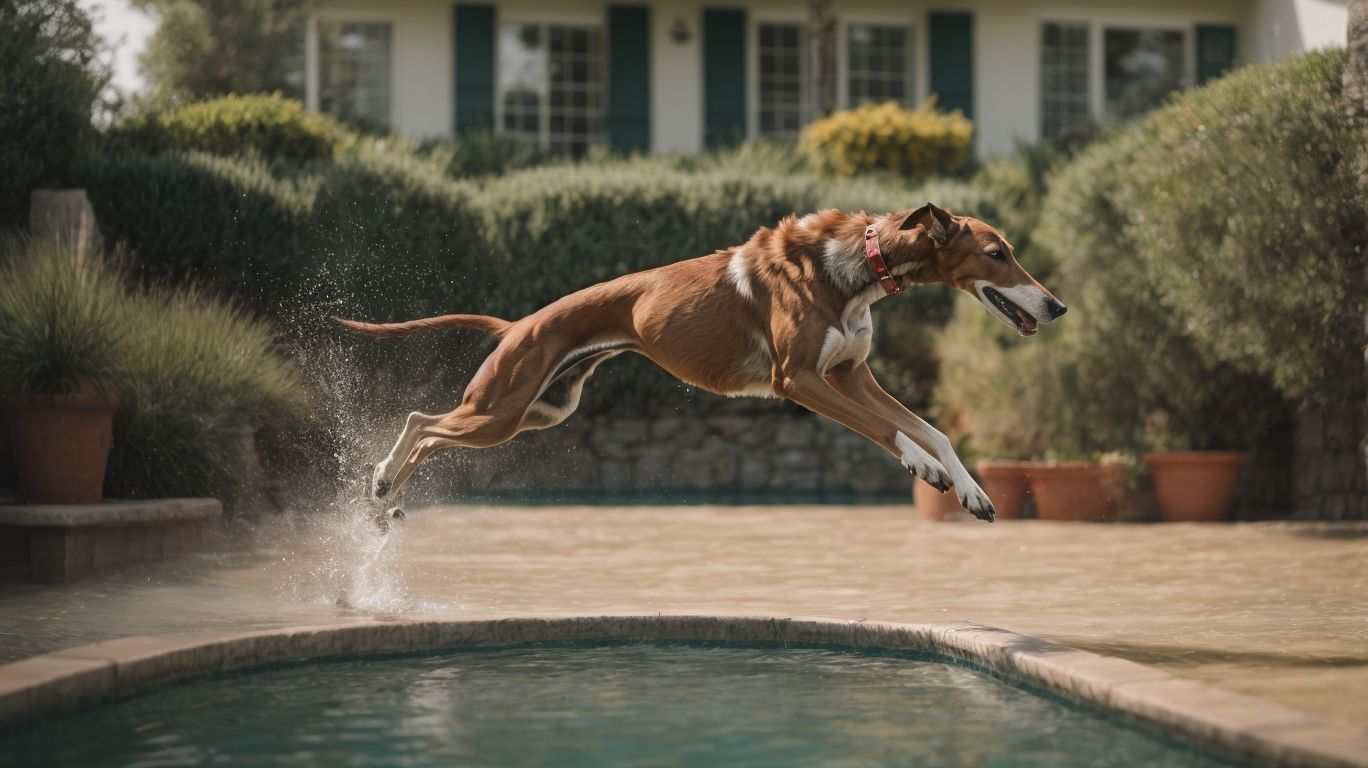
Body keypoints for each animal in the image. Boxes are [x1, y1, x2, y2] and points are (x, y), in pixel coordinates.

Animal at [336, 202, 1061, 520]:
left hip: (537, 411)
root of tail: (519, 324)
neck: (859, 263)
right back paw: (380, 479)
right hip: (500, 410)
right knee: (419, 420)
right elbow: (891, 432)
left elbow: (933, 429)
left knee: (432, 432)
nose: (1056, 306)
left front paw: (970, 490)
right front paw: (924, 470)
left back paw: (387, 498)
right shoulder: (800, 380)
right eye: (997, 254)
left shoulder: (851, 374)